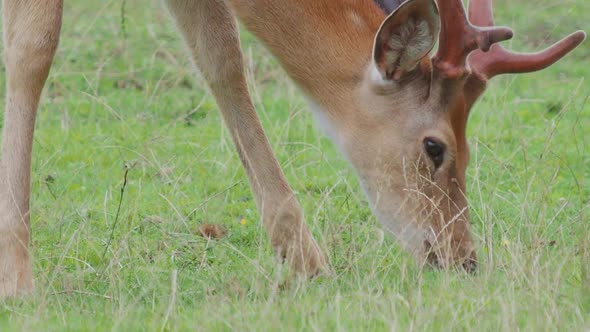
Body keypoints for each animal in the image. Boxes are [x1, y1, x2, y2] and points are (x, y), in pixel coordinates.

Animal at [0, 0, 584, 296]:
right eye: (435, 146)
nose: (463, 257)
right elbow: (33, 45)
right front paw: (19, 279)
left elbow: (222, 55)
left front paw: (308, 260)